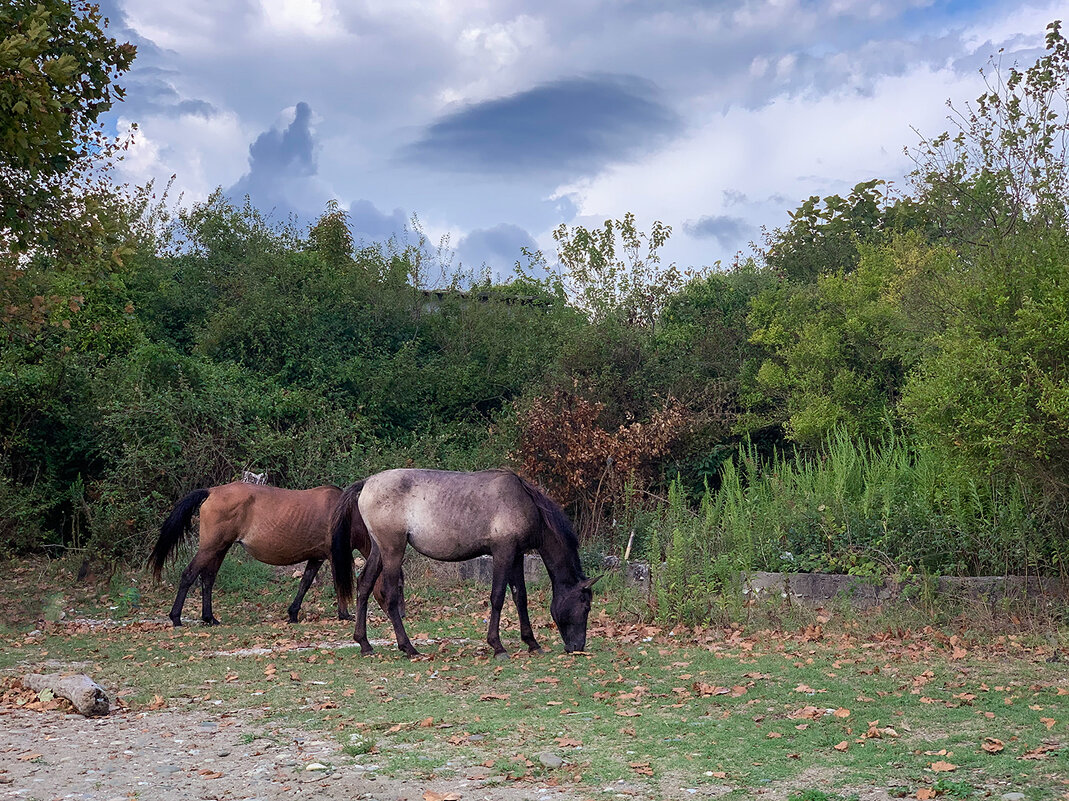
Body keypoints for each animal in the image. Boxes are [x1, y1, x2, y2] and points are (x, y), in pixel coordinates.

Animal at [148, 481, 386, 624]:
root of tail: (212, 491)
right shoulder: (334, 556)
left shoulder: (316, 557)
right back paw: (176, 617)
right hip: (210, 548)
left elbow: (305, 583)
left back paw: (209, 618)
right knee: (189, 574)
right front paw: (344, 614)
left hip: (219, 549)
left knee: (208, 579)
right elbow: (339, 584)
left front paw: (293, 614)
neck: (347, 513)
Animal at [331, 466, 598, 658]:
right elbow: (498, 597)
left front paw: (532, 643)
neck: (524, 503)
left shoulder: (516, 555)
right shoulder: (503, 553)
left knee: (364, 586)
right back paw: (409, 648)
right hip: (393, 550)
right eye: (585, 606)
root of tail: (366, 483)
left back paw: (365, 644)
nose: (577, 646)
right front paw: (497, 646)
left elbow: (520, 597)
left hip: (378, 550)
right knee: (390, 595)